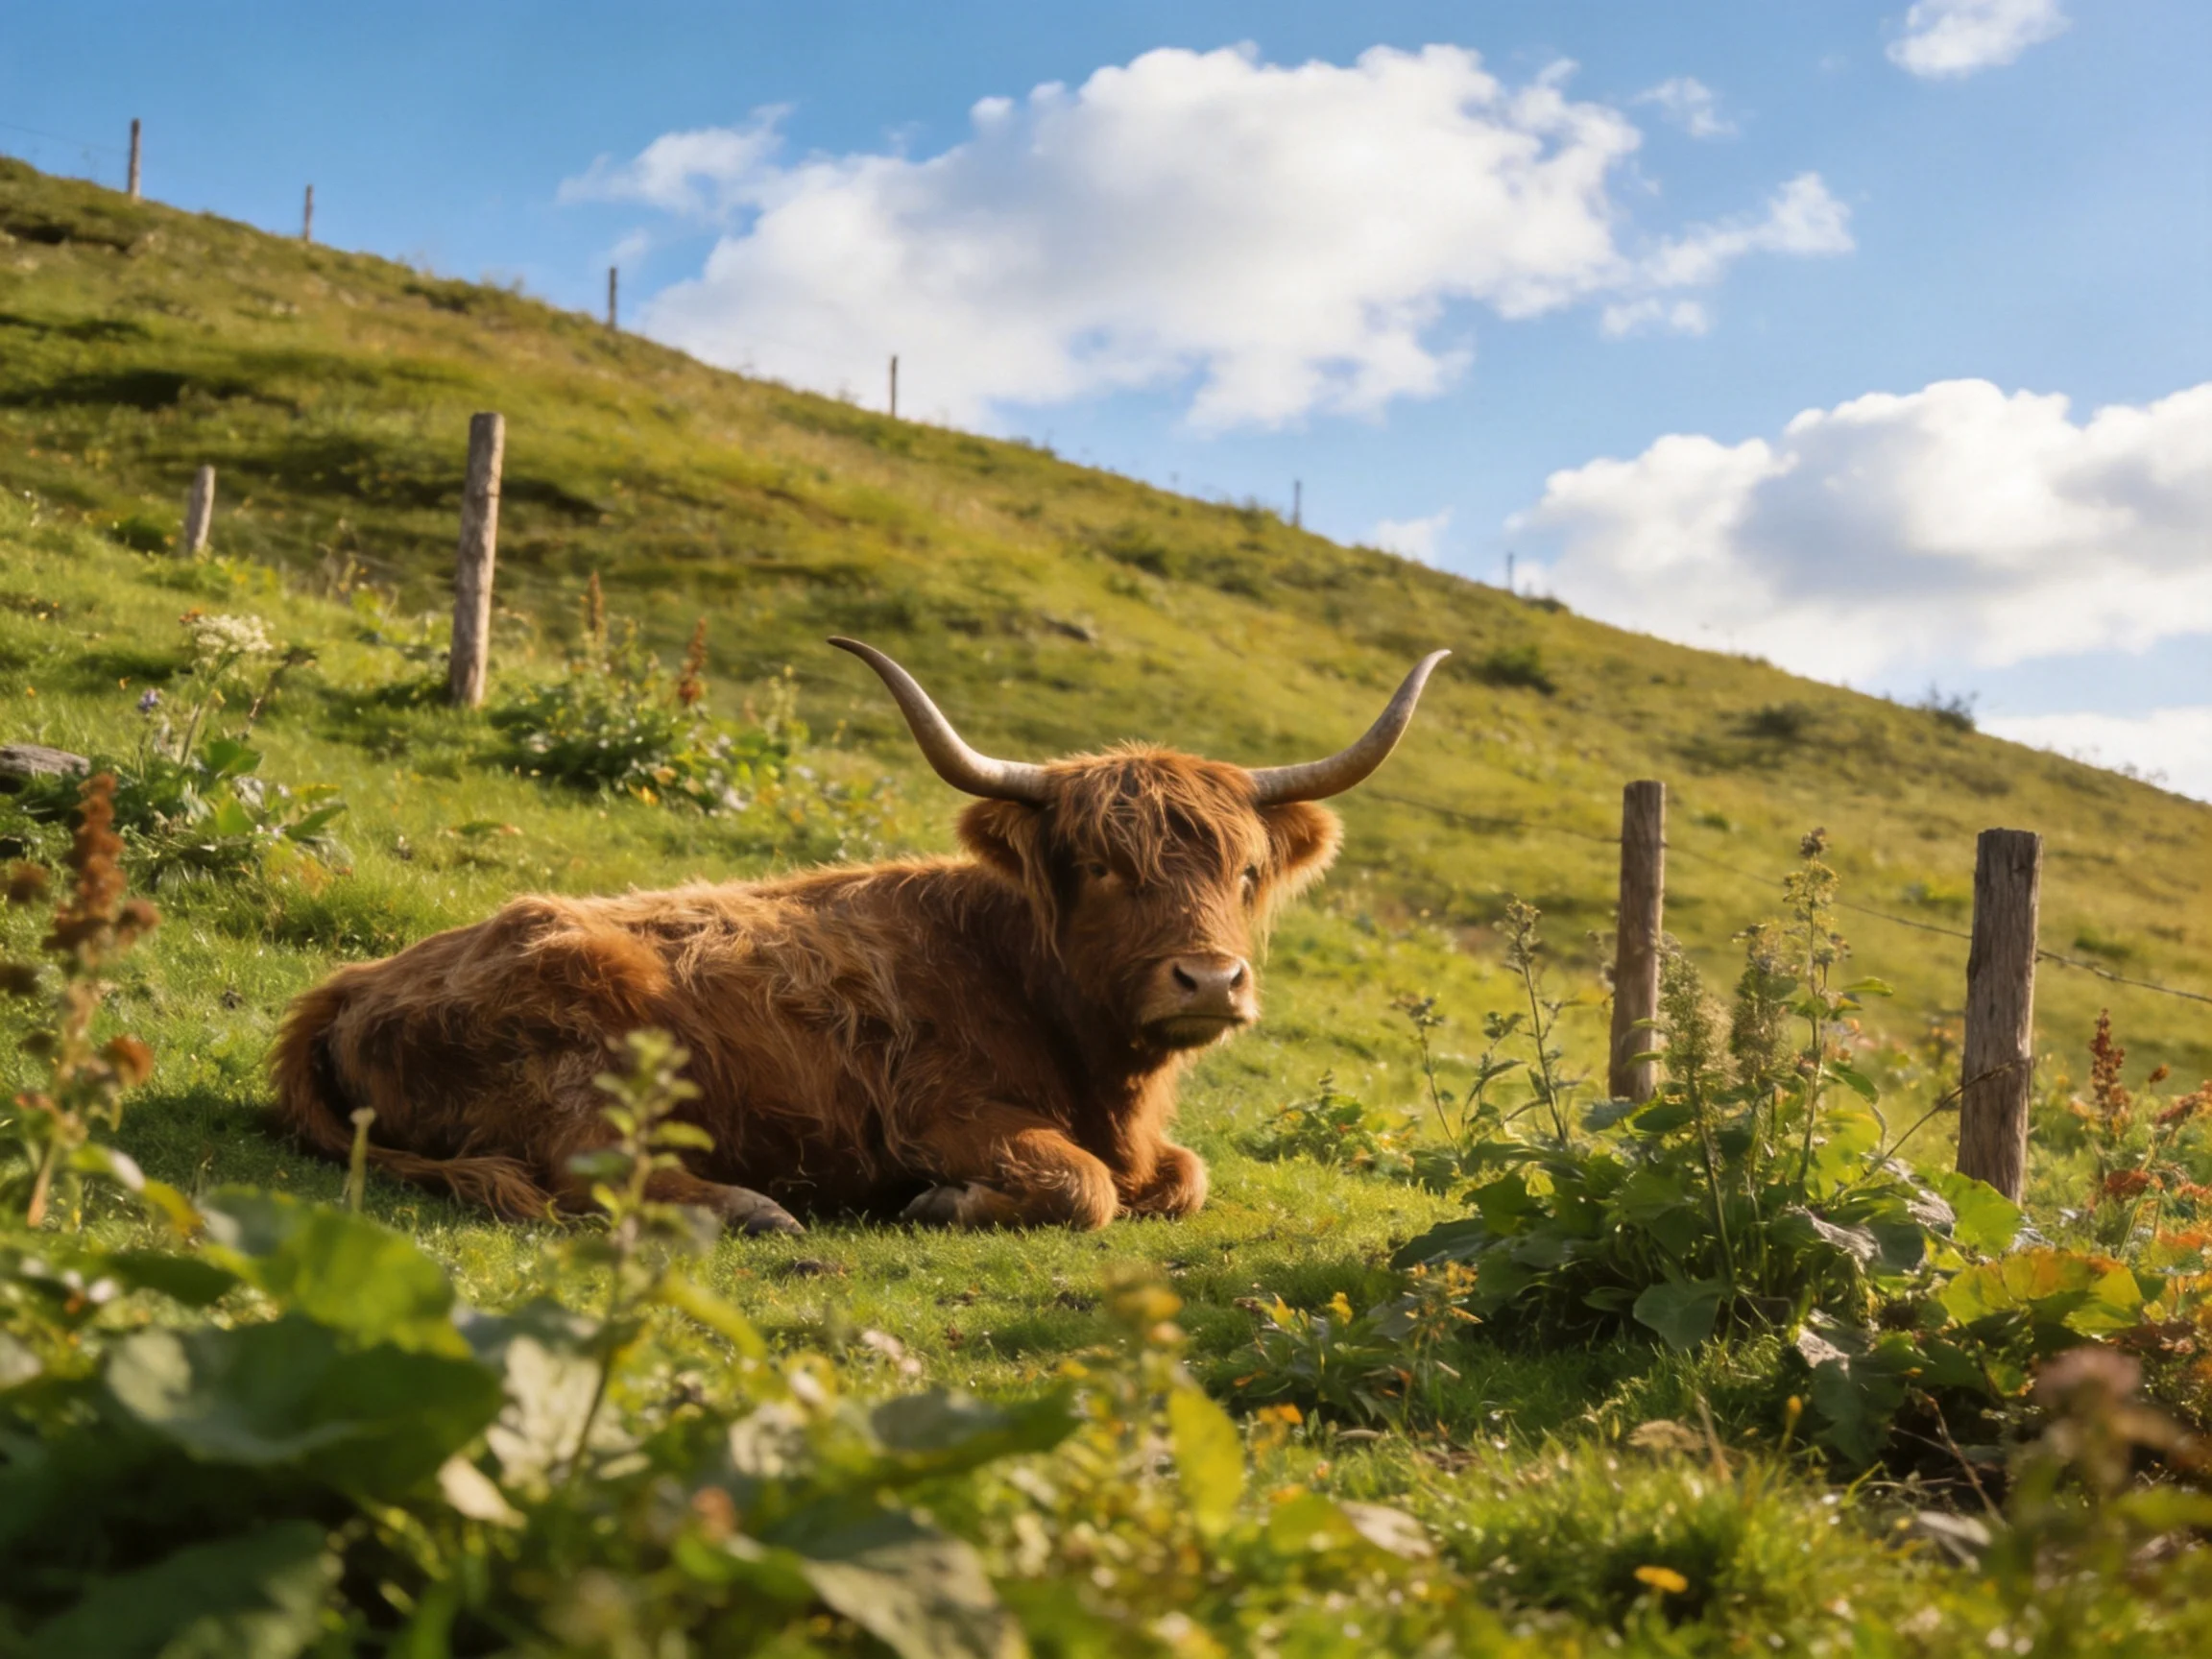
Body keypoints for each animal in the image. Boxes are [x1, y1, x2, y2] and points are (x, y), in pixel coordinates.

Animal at [270, 639, 1447, 1233]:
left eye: (1246, 873)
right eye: (1105, 866)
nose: (1209, 980)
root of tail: (352, 979)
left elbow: (1181, 1176)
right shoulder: (945, 1110)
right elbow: (1089, 1187)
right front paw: (945, 1201)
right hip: (592, 1046)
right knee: (586, 1168)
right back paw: (746, 1211)